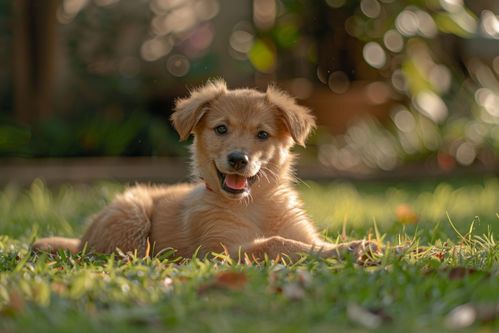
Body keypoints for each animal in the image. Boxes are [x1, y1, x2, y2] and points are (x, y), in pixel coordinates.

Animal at [33, 80, 376, 260]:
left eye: (262, 134)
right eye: (221, 129)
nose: (238, 159)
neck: (255, 205)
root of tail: (81, 240)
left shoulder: (303, 232)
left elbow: (314, 243)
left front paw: (352, 247)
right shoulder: (220, 250)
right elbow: (277, 242)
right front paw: (349, 251)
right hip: (131, 213)